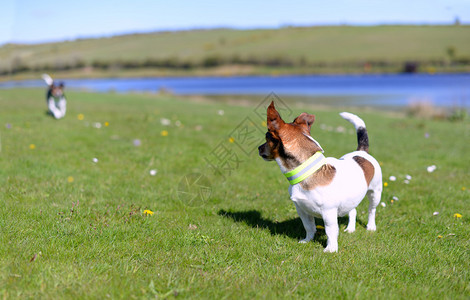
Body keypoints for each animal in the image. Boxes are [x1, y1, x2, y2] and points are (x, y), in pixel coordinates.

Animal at [258, 102, 382, 252]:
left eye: (267, 137)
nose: (259, 148)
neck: (308, 172)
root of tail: (362, 151)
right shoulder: (302, 210)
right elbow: (309, 226)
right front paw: (307, 240)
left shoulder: (329, 213)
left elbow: (331, 231)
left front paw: (331, 249)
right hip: (352, 198)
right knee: (353, 211)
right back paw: (350, 228)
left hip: (375, 193)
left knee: (371, 210)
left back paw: (371, 227)